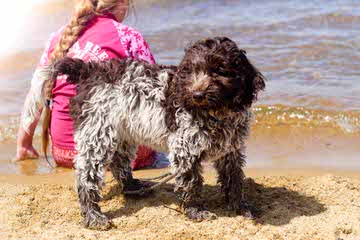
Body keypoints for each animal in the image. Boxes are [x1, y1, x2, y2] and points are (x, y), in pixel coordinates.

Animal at [35, 36, 264, 230]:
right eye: (191, 71)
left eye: (219, 70)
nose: (197, 95)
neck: (217, 113)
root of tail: (89, 70)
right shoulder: (185, 150)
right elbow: (190, 182)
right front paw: (195, 210)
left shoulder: (230, 149)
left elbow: (234, 178)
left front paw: (239, 205)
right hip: (97, 133)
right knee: (86, 177)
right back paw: (93, 215)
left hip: (122, 132)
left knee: (119, 161)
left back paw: (132, 186)